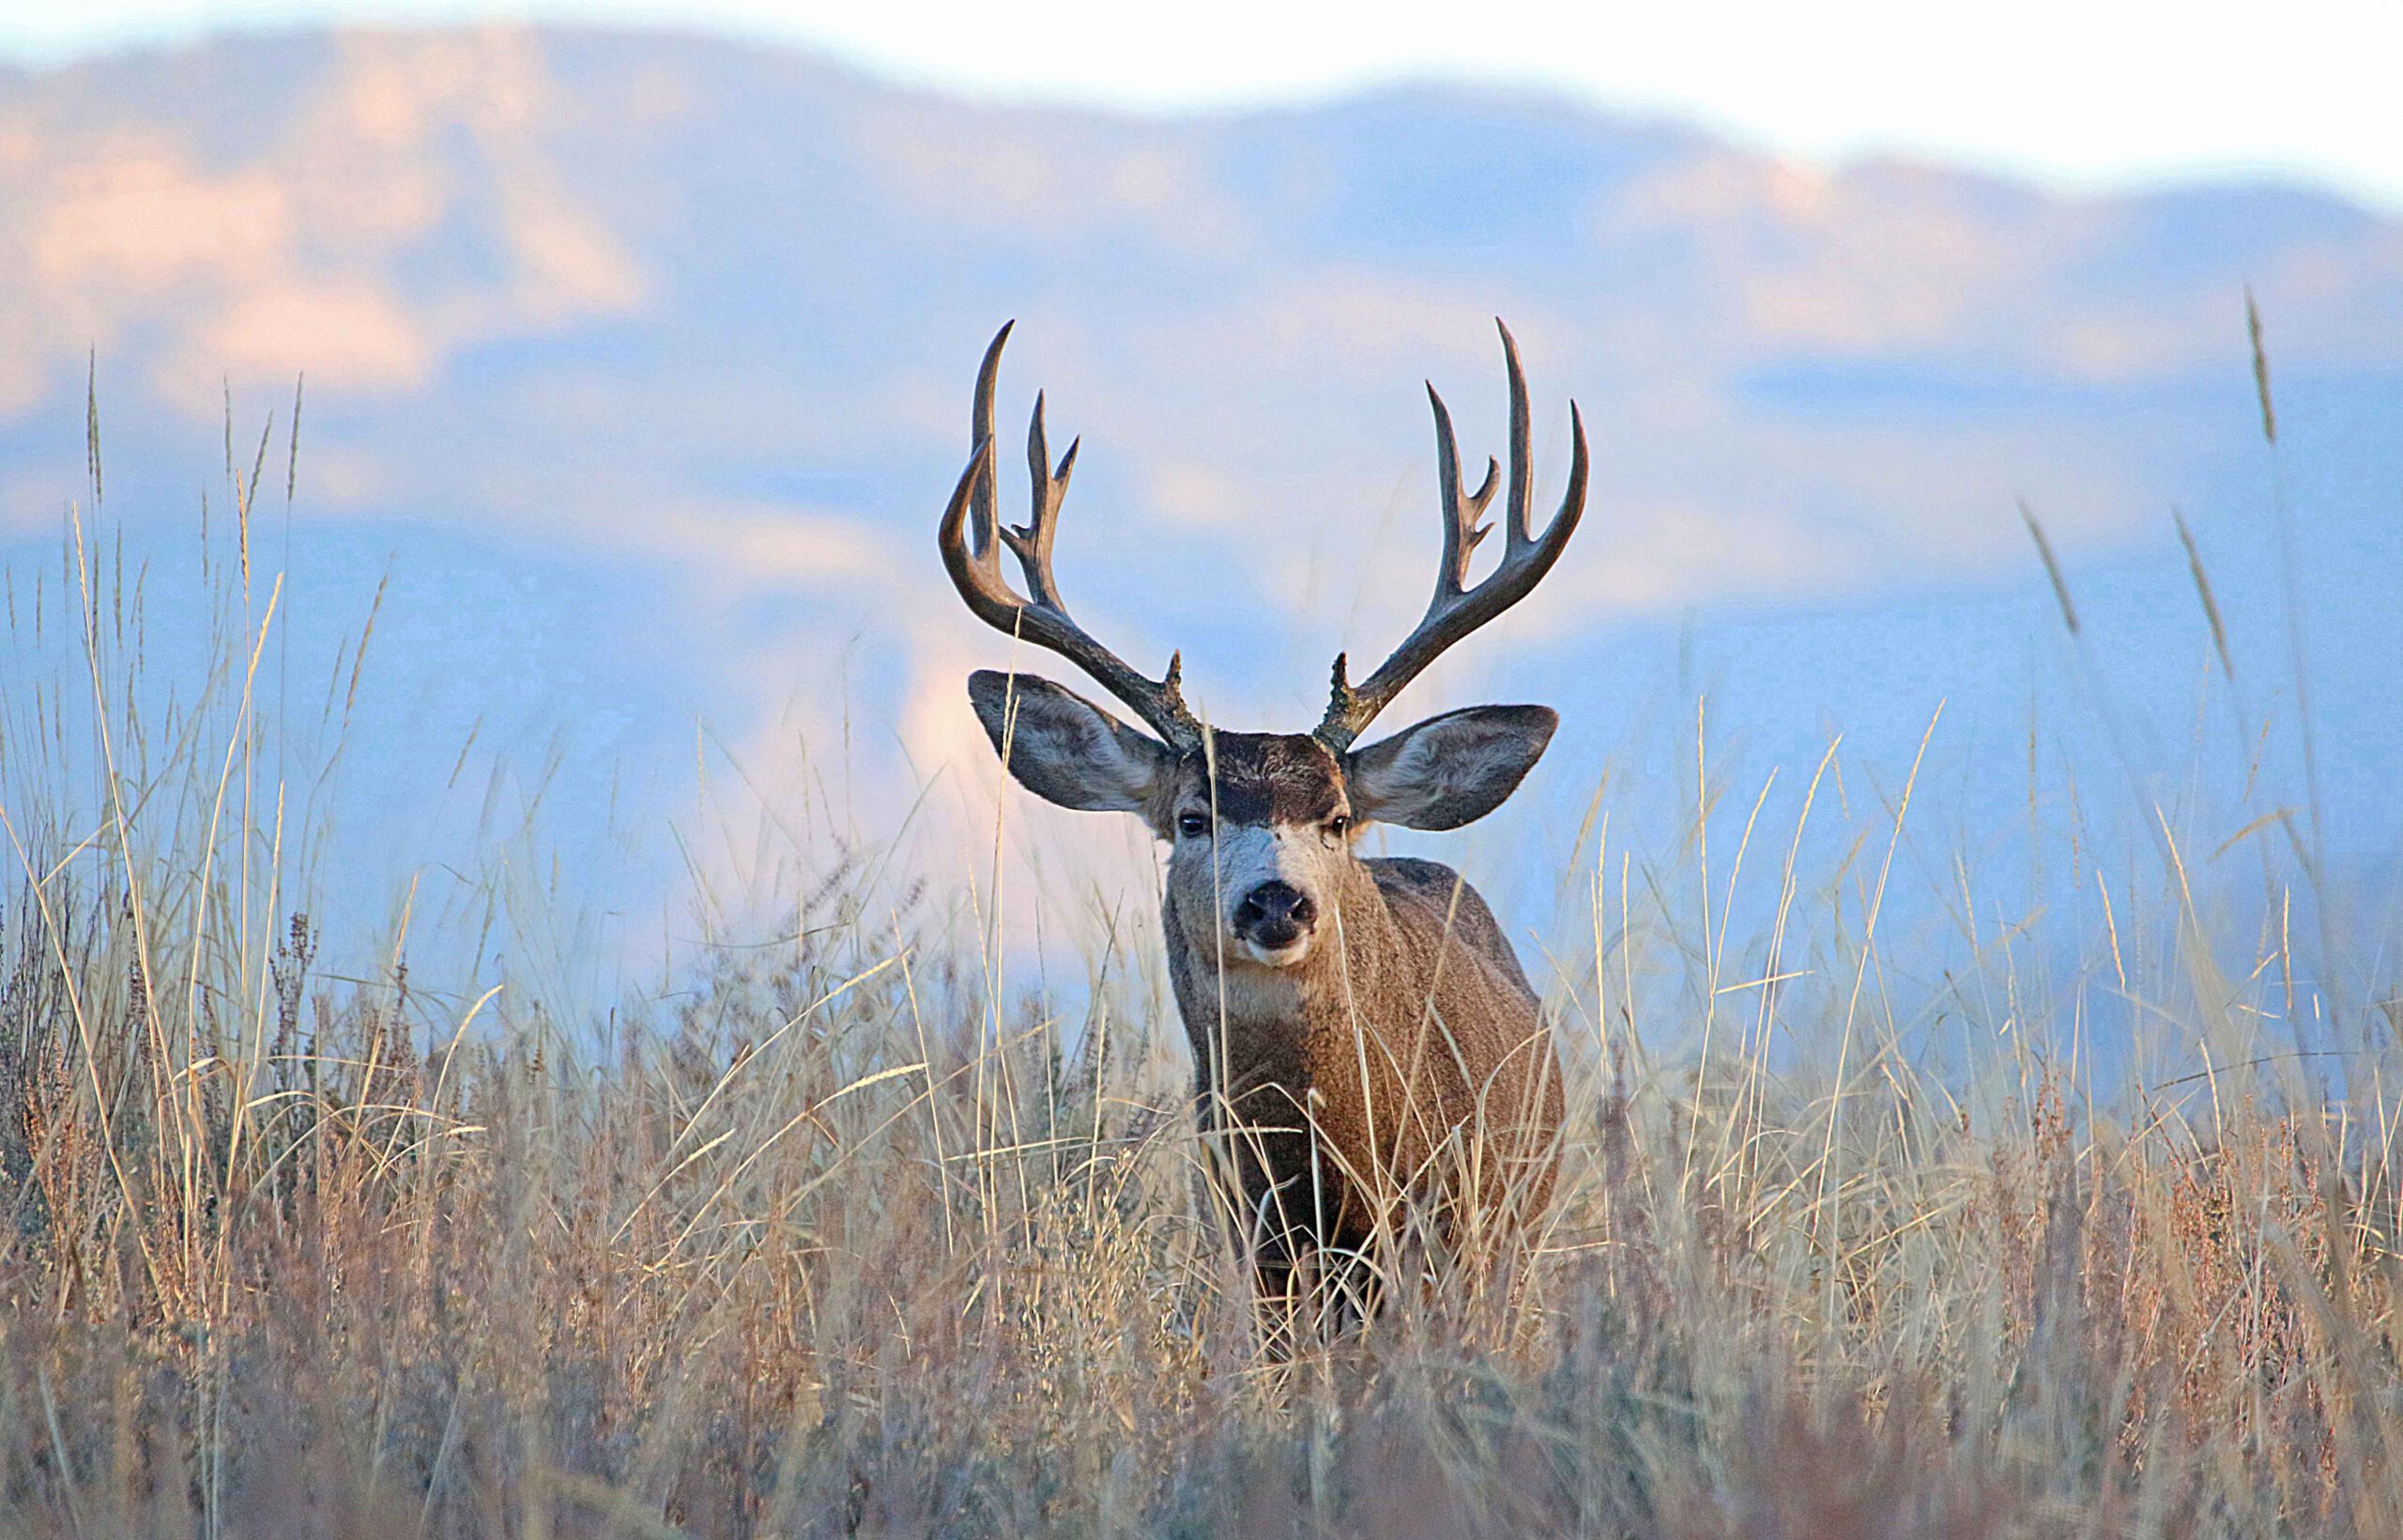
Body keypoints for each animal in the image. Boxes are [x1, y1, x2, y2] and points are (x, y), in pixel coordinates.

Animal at [938, 319, 1587, 1345]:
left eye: (1336, 818)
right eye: (1191, 817)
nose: (1275, 902)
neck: (1330, 1176)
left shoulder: (1451, 1236)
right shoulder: (1261, 1251)